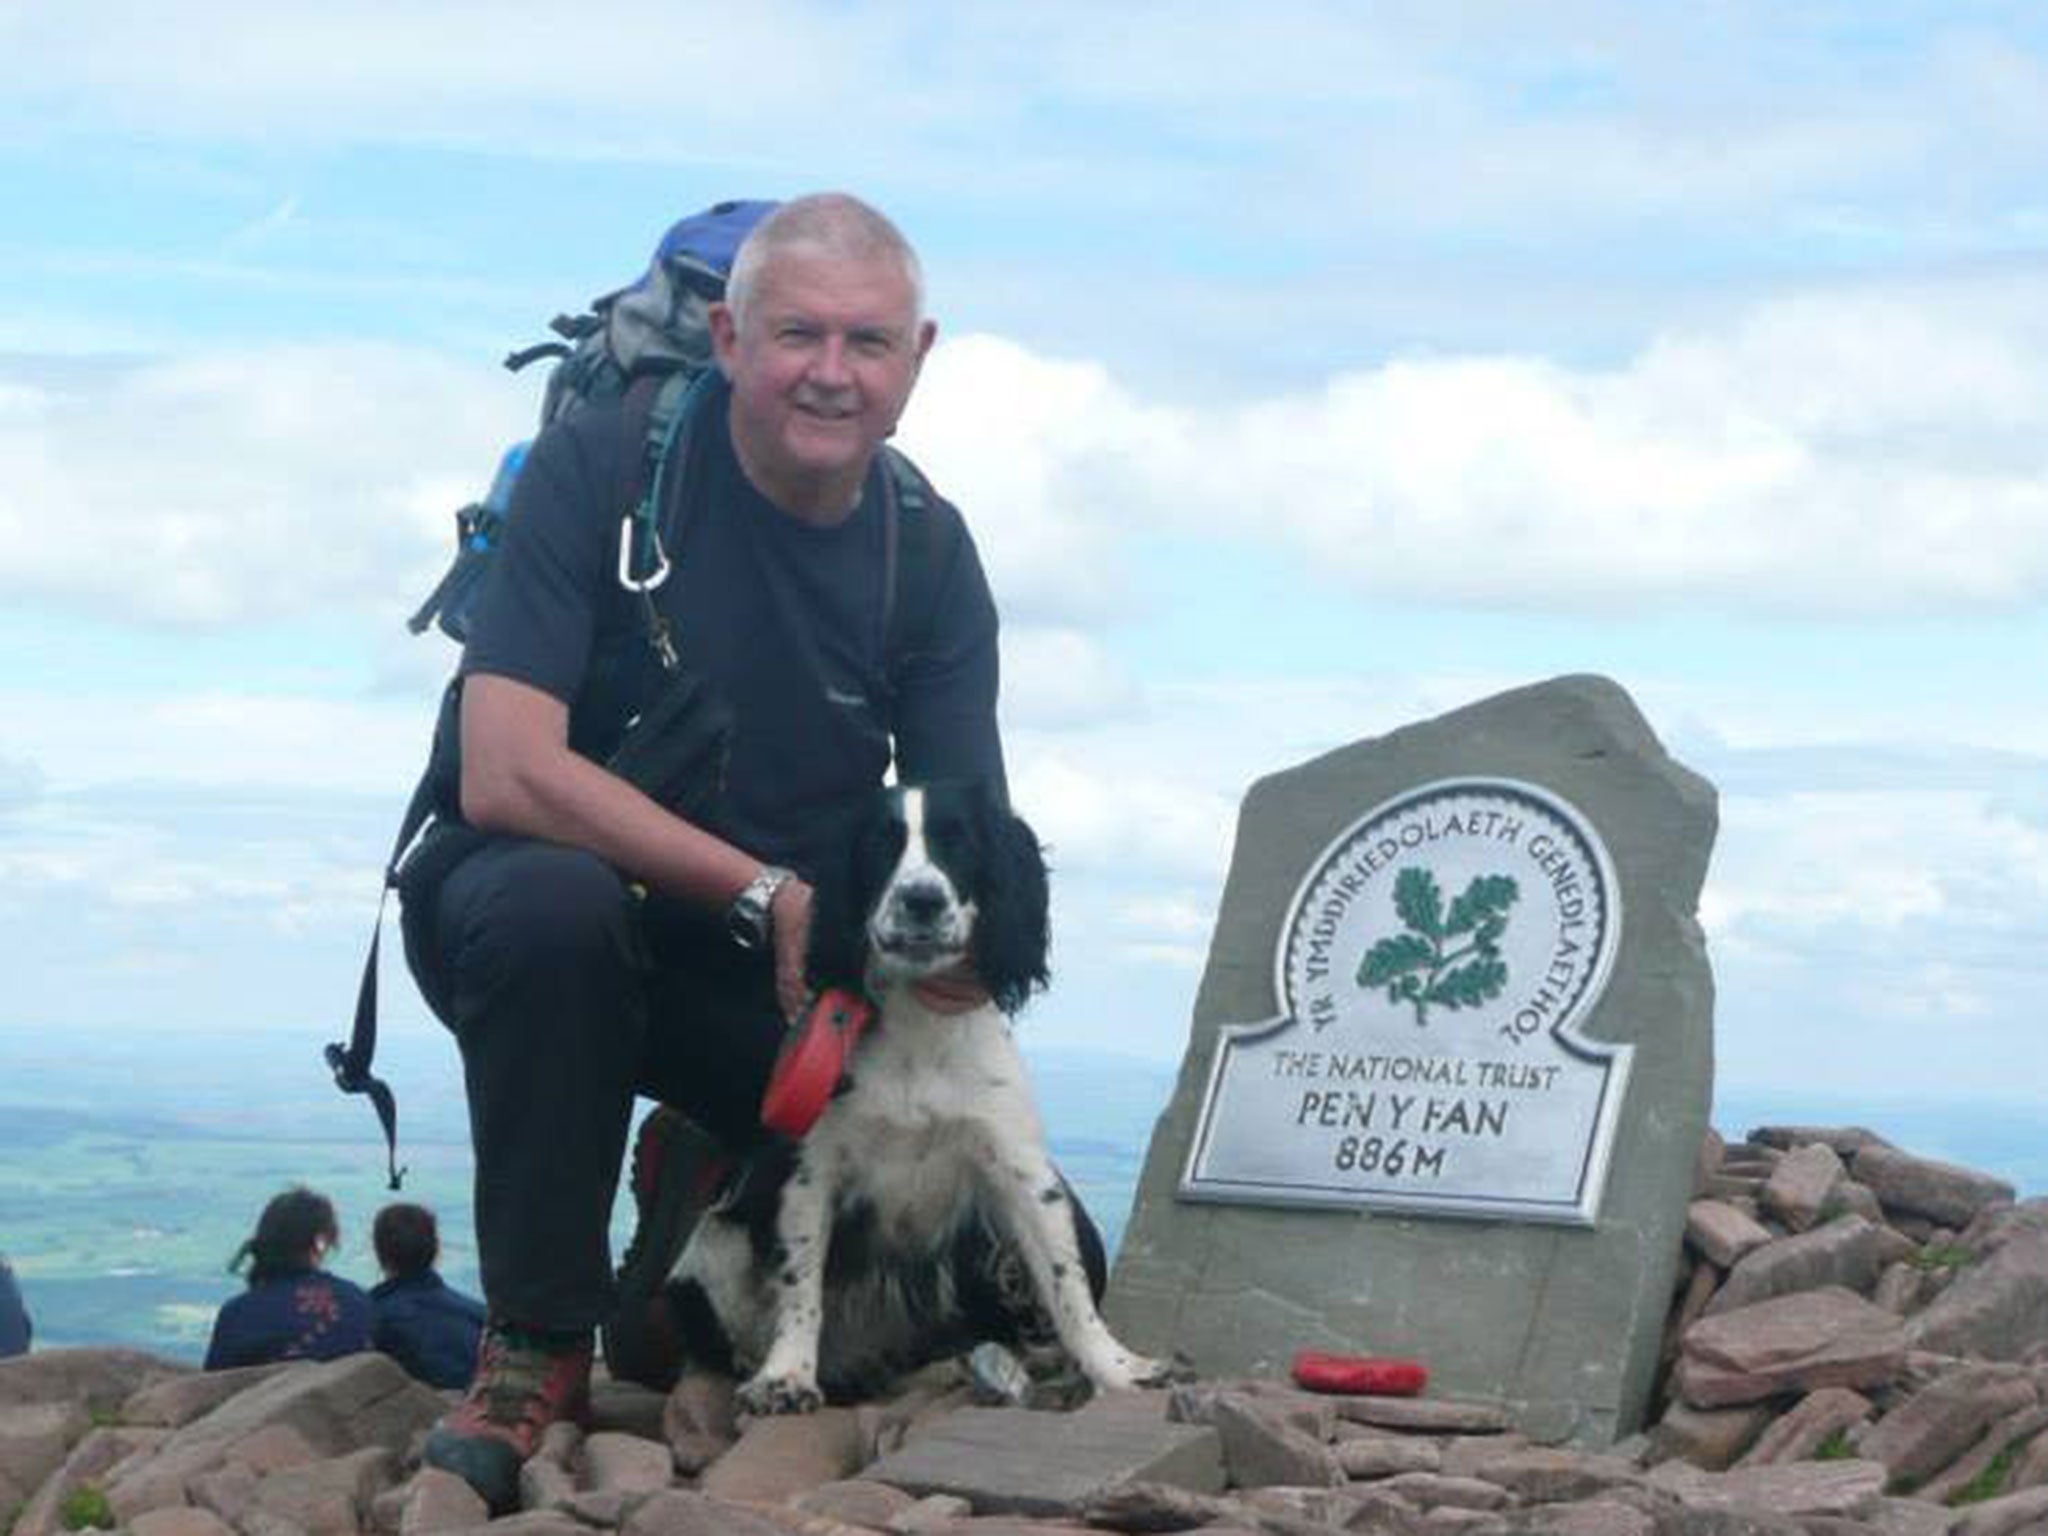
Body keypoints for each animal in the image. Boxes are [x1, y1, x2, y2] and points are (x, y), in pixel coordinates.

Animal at [659, 782, 1163, 1417]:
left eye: (960, 841)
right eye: (881, 843)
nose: (922, 899)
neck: (919, 1032)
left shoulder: (1015, 1166)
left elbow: (1064, 1277)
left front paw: (1118, 1369)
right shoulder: (810, 1172)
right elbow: (800, 1284)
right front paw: (786, 1378)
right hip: (713, 1248)